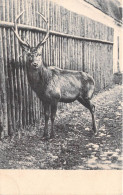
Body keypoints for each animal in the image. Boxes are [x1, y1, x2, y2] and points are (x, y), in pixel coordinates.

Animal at [12, 11, 97, 139]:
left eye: (39, 54)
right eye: (29, 55)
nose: (35, 64)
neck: (42, 86)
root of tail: (93, 79)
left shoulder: (55, 97)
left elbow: (52, 116)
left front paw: (52, 135)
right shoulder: (43, 99)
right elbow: (46, 116)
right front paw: (44, 135)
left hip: (87, 94)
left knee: (92, 106)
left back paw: (95, 129)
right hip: (80, 97)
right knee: (92, 106)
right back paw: (93, 128)